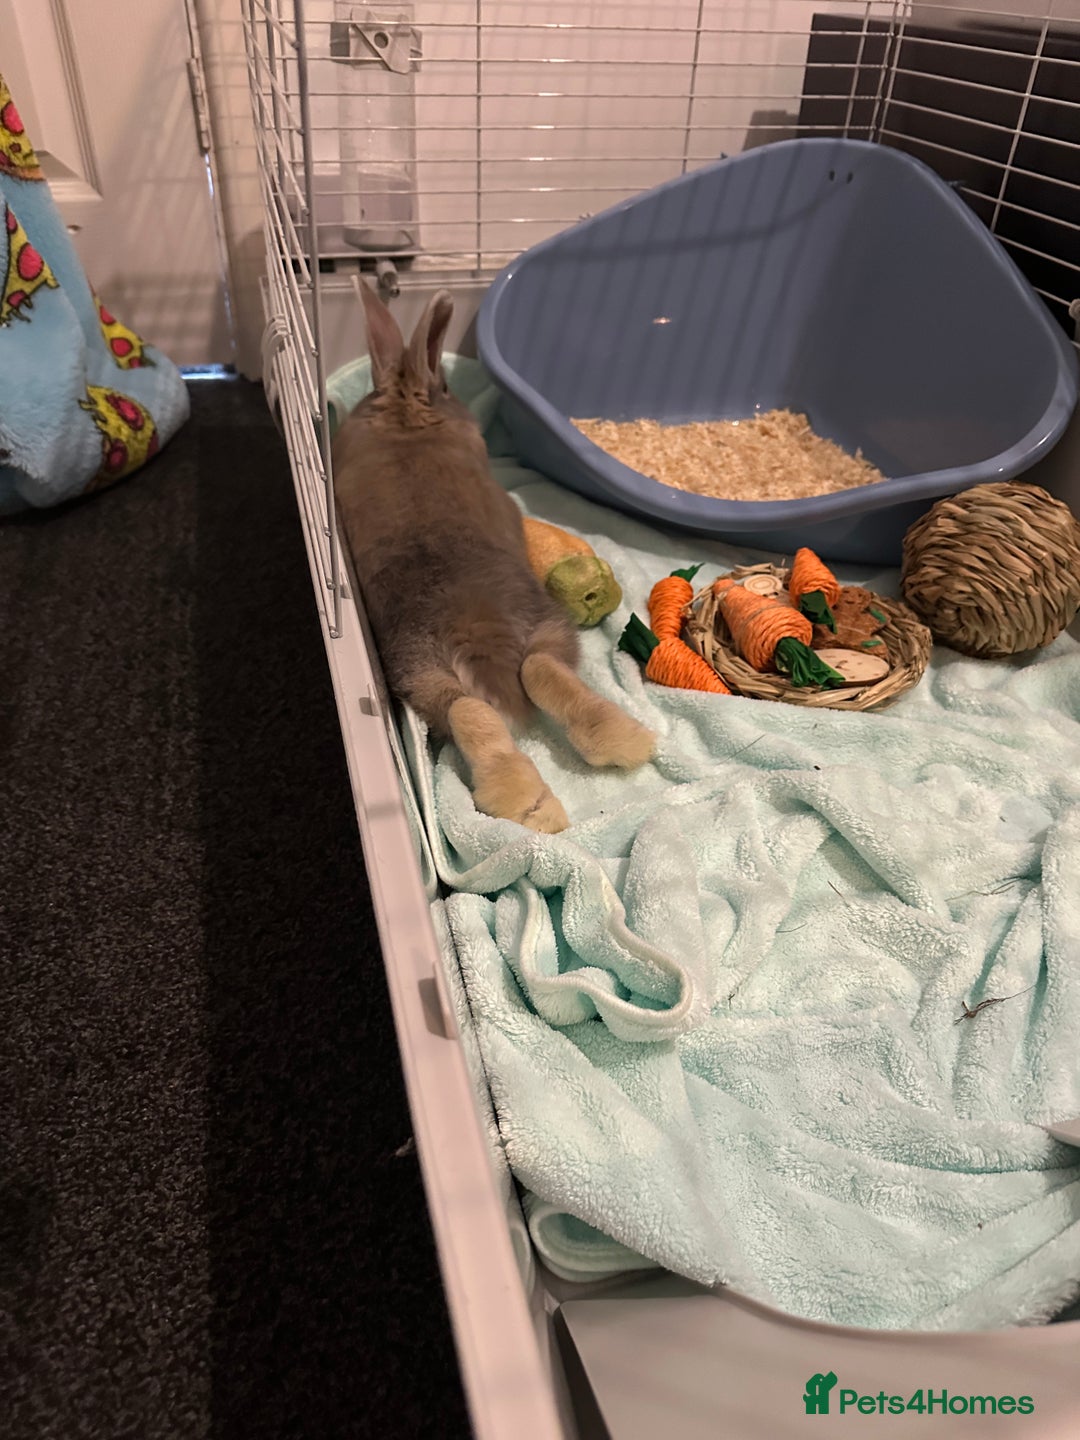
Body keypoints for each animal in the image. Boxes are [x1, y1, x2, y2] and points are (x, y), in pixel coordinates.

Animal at [330, 279, 655, 833]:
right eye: (448, 389)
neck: (407, 415)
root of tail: (476, 629)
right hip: (466, 654)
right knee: (507, 690)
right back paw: (555, 792)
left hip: (434, 669)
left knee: (504, 689)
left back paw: (590, 763)